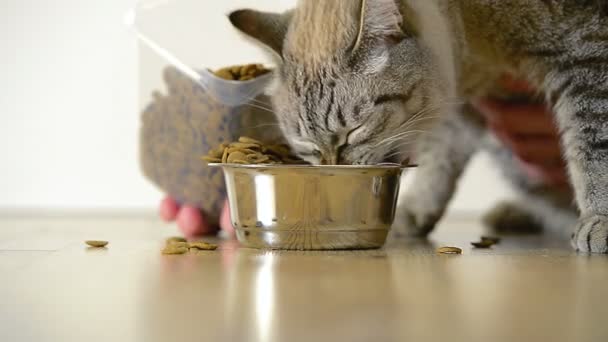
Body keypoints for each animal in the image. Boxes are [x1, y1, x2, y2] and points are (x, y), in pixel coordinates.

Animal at [228, 0, 608, 251]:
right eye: (307, 147)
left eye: (354, 132)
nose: (334, 172)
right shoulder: (463, 104)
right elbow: (439, 163)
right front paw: (414, 211)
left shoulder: (585, 55)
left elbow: (593, 146)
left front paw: (600, 219)